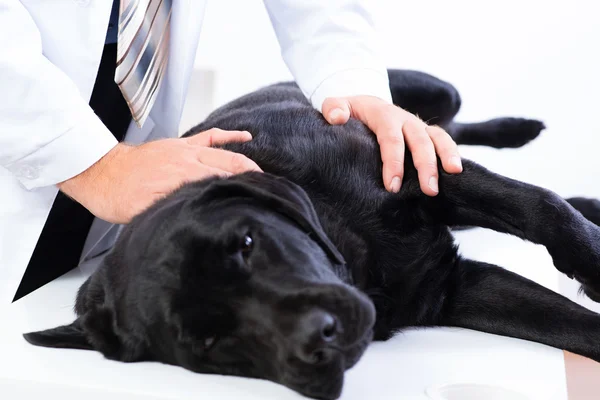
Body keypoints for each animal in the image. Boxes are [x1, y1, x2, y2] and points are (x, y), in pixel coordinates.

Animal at [25, 70, 600, 398]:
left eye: (248, 244)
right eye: (207, 342)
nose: (319, 338)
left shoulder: (423, 172)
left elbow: (541, 208)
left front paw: (589, 261)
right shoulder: (452, 289)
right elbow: (571, 325)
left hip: (429, 99)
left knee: (449, 129)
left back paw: (521, 133)